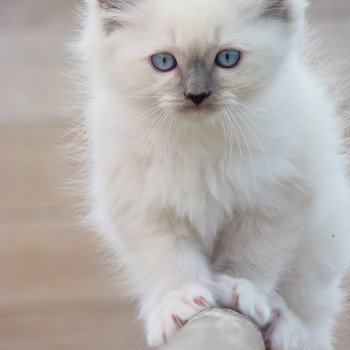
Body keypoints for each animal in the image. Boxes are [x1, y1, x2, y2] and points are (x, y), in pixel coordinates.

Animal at [78, 1, 350, 348]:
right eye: (164, 62)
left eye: (228, 58)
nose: (197, 95)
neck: (198, 139)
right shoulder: (148, 211)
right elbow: (171, 264)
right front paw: (178, 304)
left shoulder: (273, 202)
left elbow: (249, 260)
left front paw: (238, 292)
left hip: (323, 243)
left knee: (312, 314)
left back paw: (284, 326)